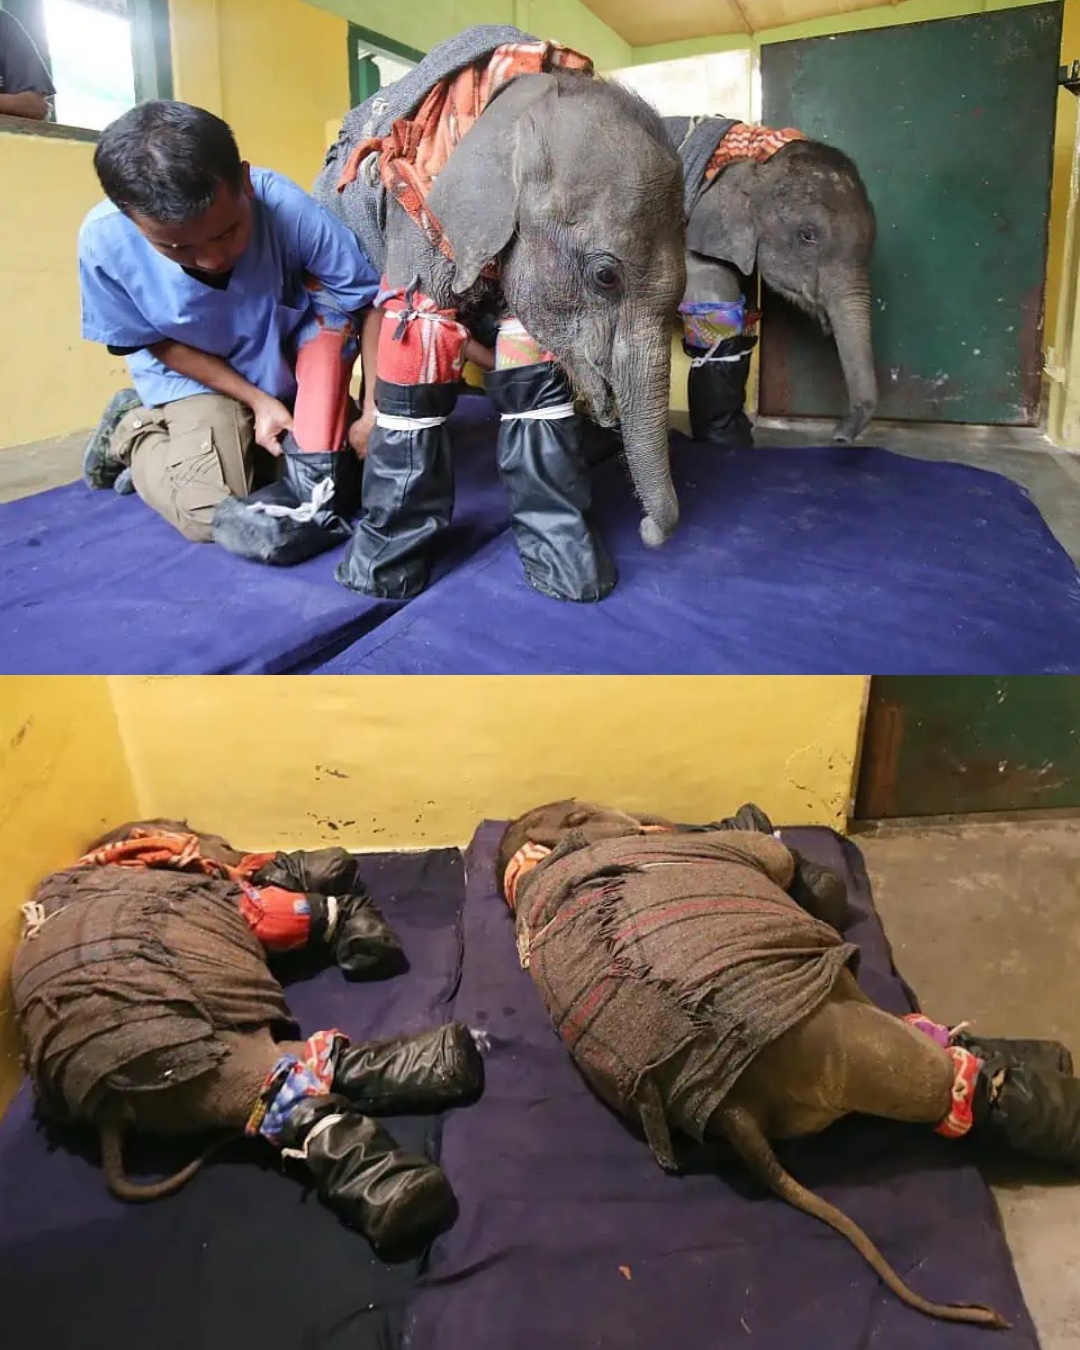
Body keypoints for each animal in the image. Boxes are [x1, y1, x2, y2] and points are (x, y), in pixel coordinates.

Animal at [11, 819, 485, 1260]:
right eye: (223, 843)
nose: (339, 859)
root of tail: (109, 1112)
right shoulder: (242, 904)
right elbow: (281, 915)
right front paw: (345, 903)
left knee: (319, 1060)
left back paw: (448, 1059)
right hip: (209, 1075)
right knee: (297, 1094)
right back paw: (406, 1194)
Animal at [308, 26, 687, 605]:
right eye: (606, 276)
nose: (648, 531)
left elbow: (523, 353)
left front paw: (572, 576)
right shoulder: (427, 213)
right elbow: (421, 329)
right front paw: (373, 580)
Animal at [497, 798, 1080, 1328]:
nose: (744, 810)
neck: (550, 856)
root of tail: (732, 1109)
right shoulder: (747, 851)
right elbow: (781, 860)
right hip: (856, 1050)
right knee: (940, 1075)